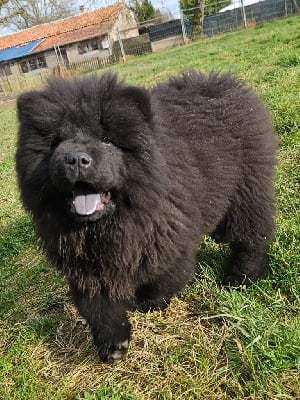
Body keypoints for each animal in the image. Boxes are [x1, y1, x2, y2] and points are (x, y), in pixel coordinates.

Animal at [14, 71, 276, 362]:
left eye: (106, 139)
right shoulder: (82, 260)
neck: (107, 225)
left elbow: (165, 276)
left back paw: (241, 278)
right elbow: (96, 304)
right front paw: (113, 343)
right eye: (56, 142)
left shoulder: (169, 234)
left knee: (253, 233)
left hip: (248, 187)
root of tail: (222, 81)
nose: (75, 159)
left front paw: (149, 303)